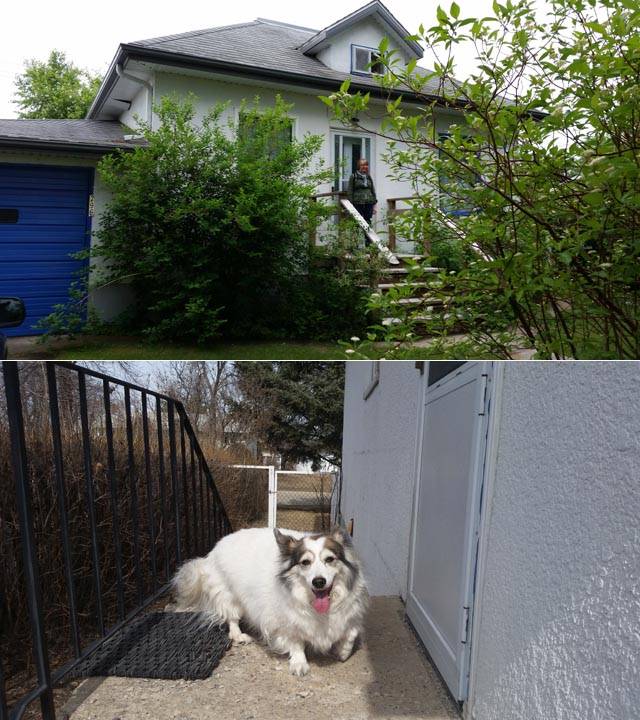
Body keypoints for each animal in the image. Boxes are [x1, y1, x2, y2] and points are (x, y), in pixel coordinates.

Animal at [172, 524, 368, 672]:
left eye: (330, 559)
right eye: (305, 562)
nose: (318, 582)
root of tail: (213, 550)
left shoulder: (351, 614)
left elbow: (351, 632)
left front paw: (343, 651)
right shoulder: (284, 622)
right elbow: (296, 641)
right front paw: (299, 663)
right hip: (228, 595)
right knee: (232, 618)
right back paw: (239, 635)